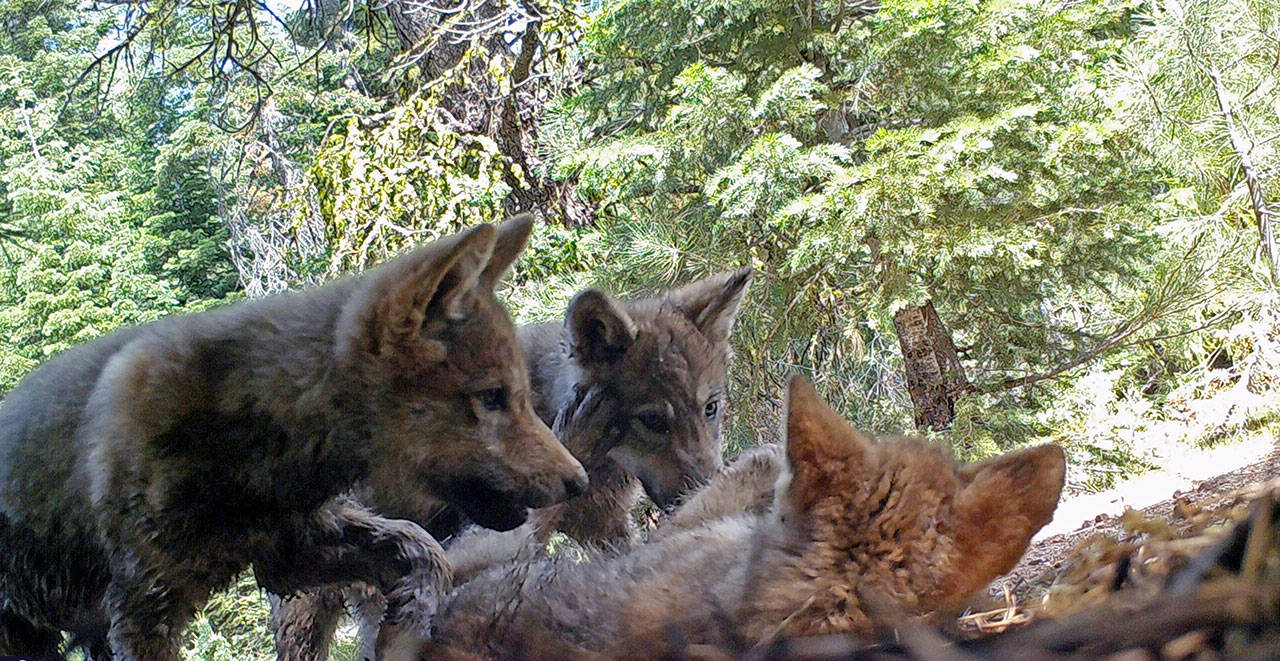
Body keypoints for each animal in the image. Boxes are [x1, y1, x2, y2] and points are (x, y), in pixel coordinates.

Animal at [0, 216, 587, 661]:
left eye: (520, 395)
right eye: (492, 397)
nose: (579, 481)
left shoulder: (292, 551)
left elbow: (422, 552)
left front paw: (405, 625)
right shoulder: (143, 608)